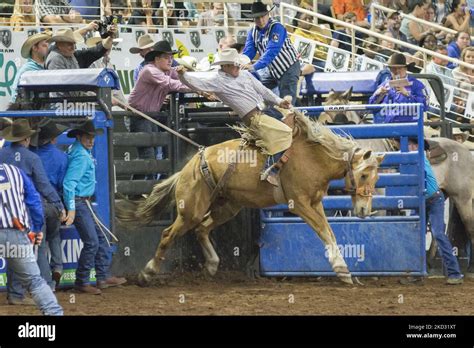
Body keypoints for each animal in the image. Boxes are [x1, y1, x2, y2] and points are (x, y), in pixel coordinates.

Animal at [117, 111, 386, 286]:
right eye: (363, 175)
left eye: (375, 179)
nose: (364, 210)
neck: (313, 156)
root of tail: (188, 167)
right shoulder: (299, 204)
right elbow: (323, 232)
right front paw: (342, 270)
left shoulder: (315, 203)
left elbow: (329, 232)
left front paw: (342, 269)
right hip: (191, 209)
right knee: (168, 234)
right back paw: (147, 273)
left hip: (227, 207)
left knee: (202, 229)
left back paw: (212, 264)